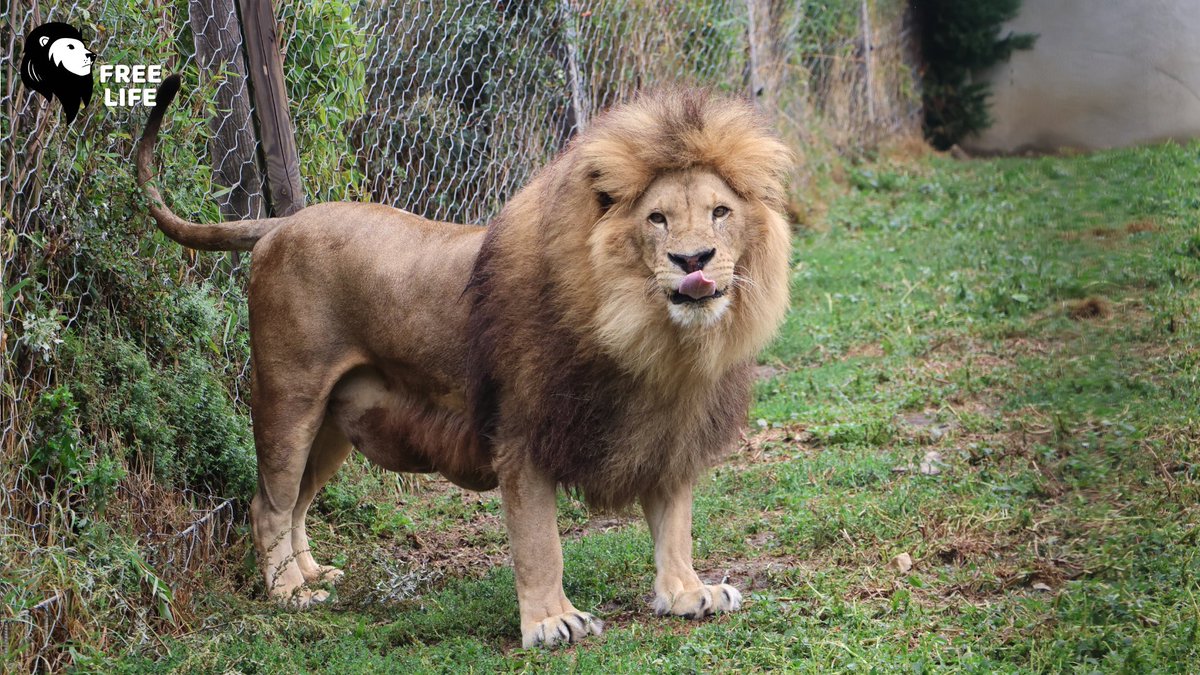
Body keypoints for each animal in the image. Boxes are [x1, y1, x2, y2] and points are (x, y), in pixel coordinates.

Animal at [137, 74, 792, 648]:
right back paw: (289, 593)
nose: (693, 259)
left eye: (719, 212)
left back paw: (314, 574)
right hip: (288, 395)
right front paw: (551, 623)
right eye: (656, 219)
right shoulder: (522, 435)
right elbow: (540, 542)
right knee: (267, 504)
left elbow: (675, 526)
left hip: (331, 422)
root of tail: (282, 221)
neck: (654, 339)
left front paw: (688, 593)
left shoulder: (668, 432)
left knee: (296, 501)